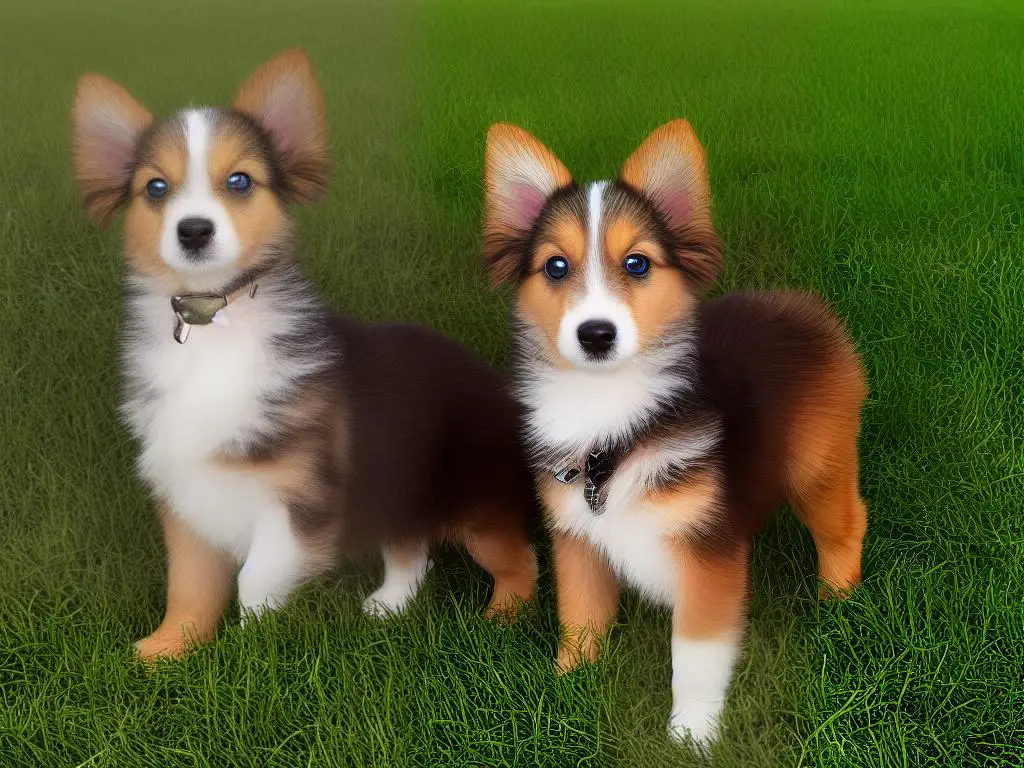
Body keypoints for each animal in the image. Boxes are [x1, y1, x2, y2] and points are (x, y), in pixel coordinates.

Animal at [483, 120, 868, 753]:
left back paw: (837, 601)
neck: (610, 412)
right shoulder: (576, 536)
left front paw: (692, 734)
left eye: (638, 264)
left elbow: (695, 656)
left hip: (817, 461)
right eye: (556, 267)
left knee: (846, 522)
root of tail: (803, 307)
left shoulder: (707, 555)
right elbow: (580, 617)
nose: (595, 334)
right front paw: (567, 689)